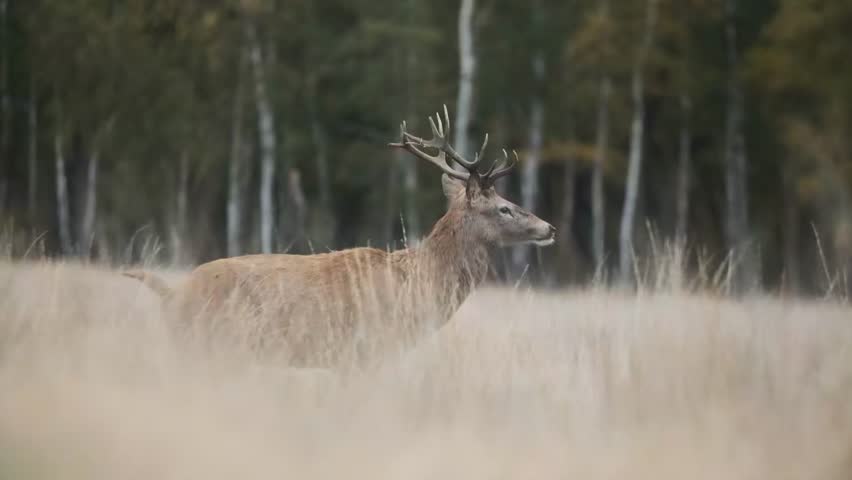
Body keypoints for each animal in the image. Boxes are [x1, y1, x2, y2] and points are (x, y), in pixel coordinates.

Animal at [124, 105, 556, 372]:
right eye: (504, 207)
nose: (548, 227)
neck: (417, 282)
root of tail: (172, 293)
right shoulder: (364, 350)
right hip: (211, 346)